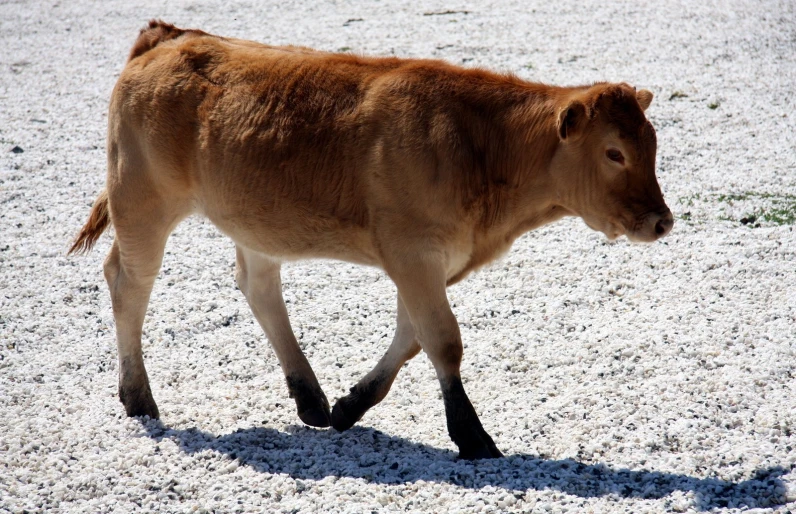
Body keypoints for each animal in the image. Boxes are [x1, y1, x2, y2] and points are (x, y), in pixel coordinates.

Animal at [70, 21, 672, 460]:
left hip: (251, 218)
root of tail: (171, 36)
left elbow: (412, 337)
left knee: (259, 286)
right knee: (129, 283)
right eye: (614, 152)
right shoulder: (414, 252)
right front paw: (472, 436)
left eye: (652, 145)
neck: (480, 145)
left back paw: (310, 398)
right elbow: (443, 340)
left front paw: (350, 406)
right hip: (141, 200)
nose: (662, 221)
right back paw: (139, 398)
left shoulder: (430, 261)